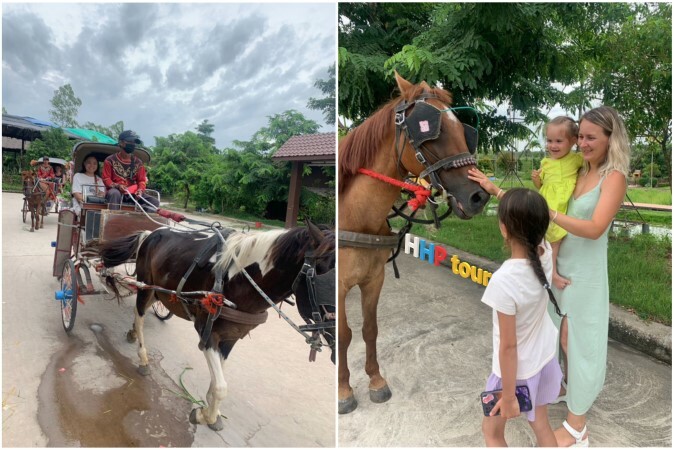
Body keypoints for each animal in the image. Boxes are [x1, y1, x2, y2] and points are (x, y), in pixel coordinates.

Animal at [98, 223, 334, 430]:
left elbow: (218, 375)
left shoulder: (231, 336)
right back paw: (143, 357)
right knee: (139, 315)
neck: (239, 280)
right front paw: (204, 416)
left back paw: (131, 333)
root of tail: (151, 233)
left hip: (159, 291)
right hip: (145, 286)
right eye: (324, 279)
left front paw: (210, 408)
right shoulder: (207, 332)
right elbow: (221, 386)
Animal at [338, 74, 486, 414]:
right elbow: (344, 334)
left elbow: (369, 329)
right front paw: (343, 390)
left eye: (465, 131)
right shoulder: (337, 285)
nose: (479, 196)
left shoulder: (374, 278)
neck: (355, 216)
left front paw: (376, 380)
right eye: (429, 128)